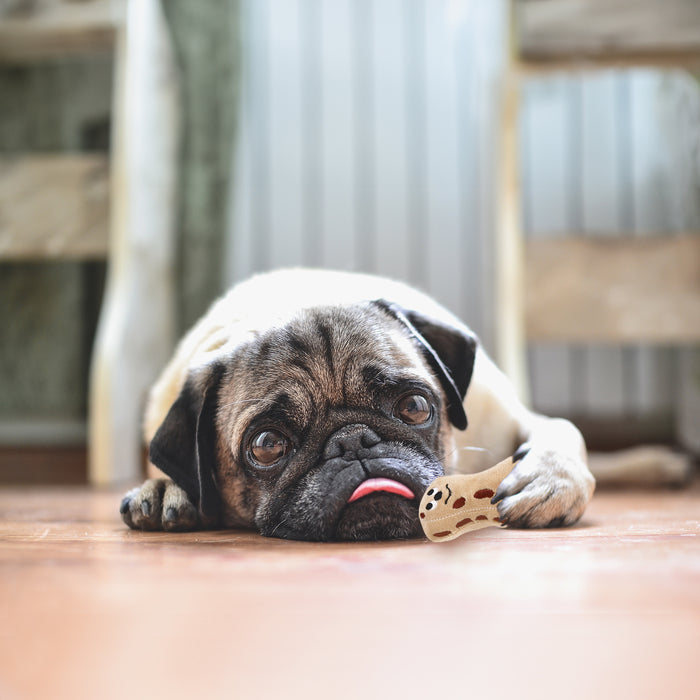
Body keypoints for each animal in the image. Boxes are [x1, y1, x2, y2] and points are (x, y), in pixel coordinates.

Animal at [120, 268, 596, 540]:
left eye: (415, 407)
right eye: (268, 445)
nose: (351, 442)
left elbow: (563, 428)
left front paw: (549, 479)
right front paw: (165, 489)